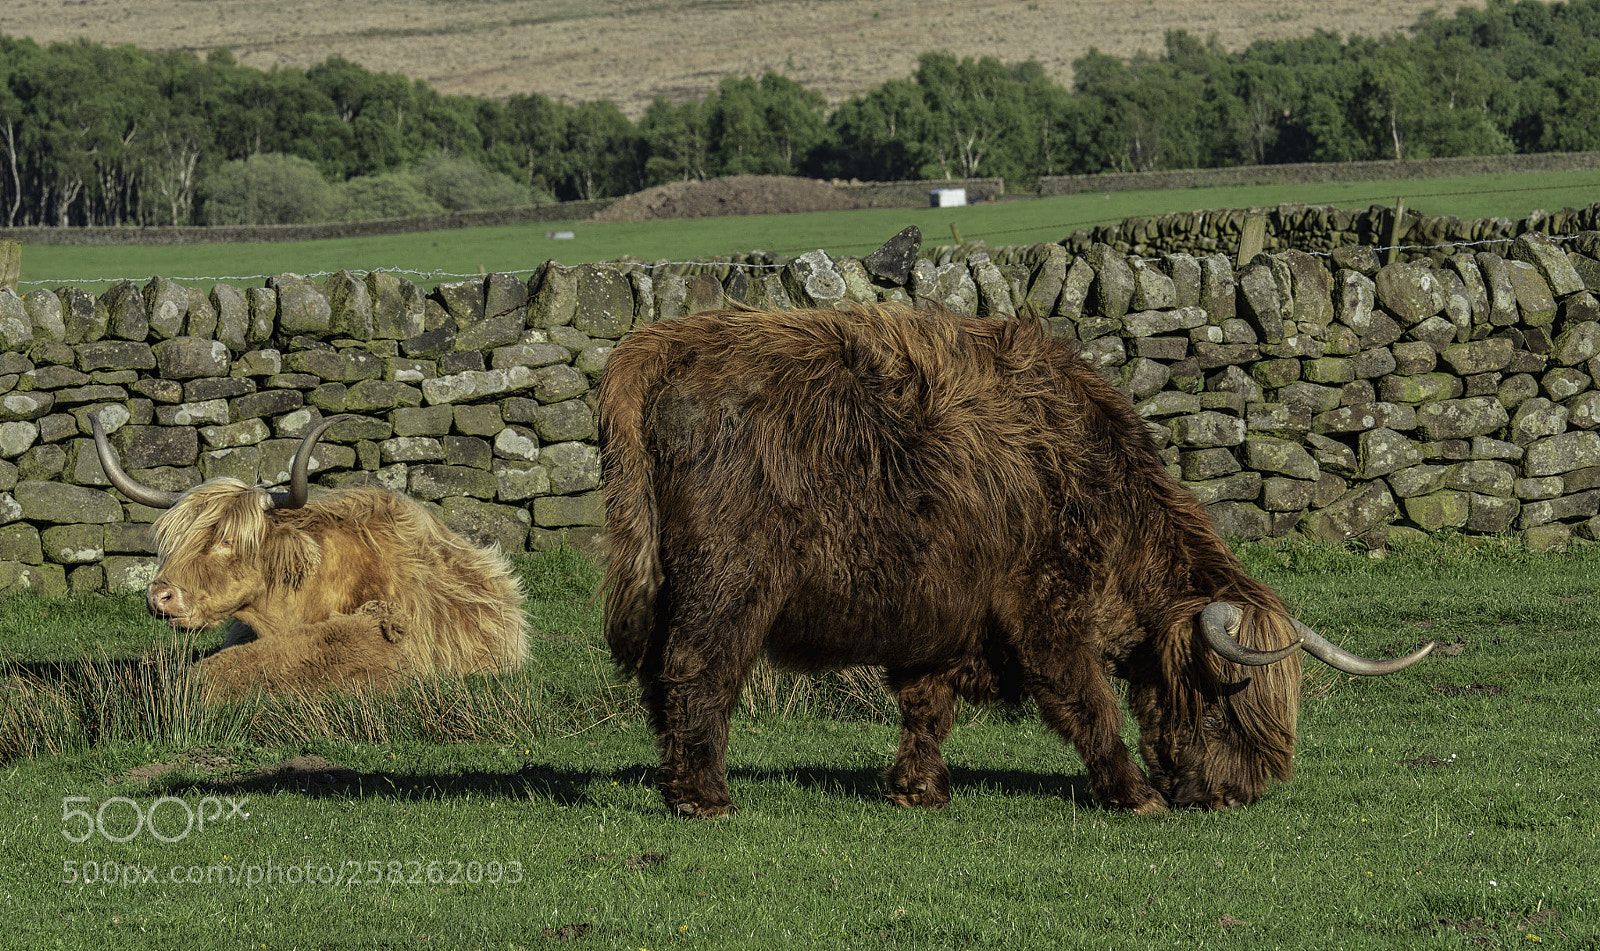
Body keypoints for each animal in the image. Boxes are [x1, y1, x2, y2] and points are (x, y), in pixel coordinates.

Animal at [597, 303, 1432, 818]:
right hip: (727, 580)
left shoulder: (941, 613)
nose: (1239, 794)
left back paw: (675, 782)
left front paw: (918, 788)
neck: (1095, 481)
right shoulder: (1045, 610)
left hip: (673, 579)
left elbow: (927, 706)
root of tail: (670, 341)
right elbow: (1087, 701)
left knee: (662, 677)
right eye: (1226, 700)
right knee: (698, 669)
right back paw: (704, 795)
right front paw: (1134, 793)